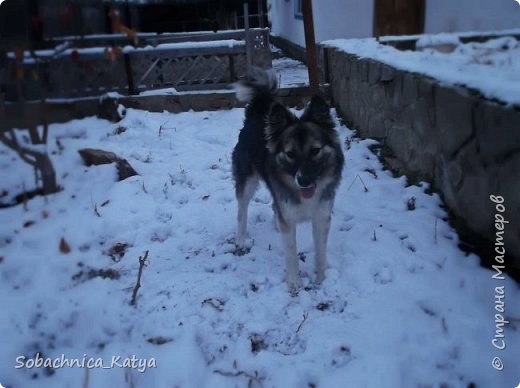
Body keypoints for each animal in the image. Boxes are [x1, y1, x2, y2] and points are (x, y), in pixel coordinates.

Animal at [232, 69, 346, 292]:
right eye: (290, 154)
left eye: (315, 150)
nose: (303, 181)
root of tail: (256, 114)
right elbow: (291, 251)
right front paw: (294, 282)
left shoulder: (322, 217)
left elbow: (320, 252)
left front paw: (322, 279)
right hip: (247, 181)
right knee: (242, 211)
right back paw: (241, 239)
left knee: (274, 208)